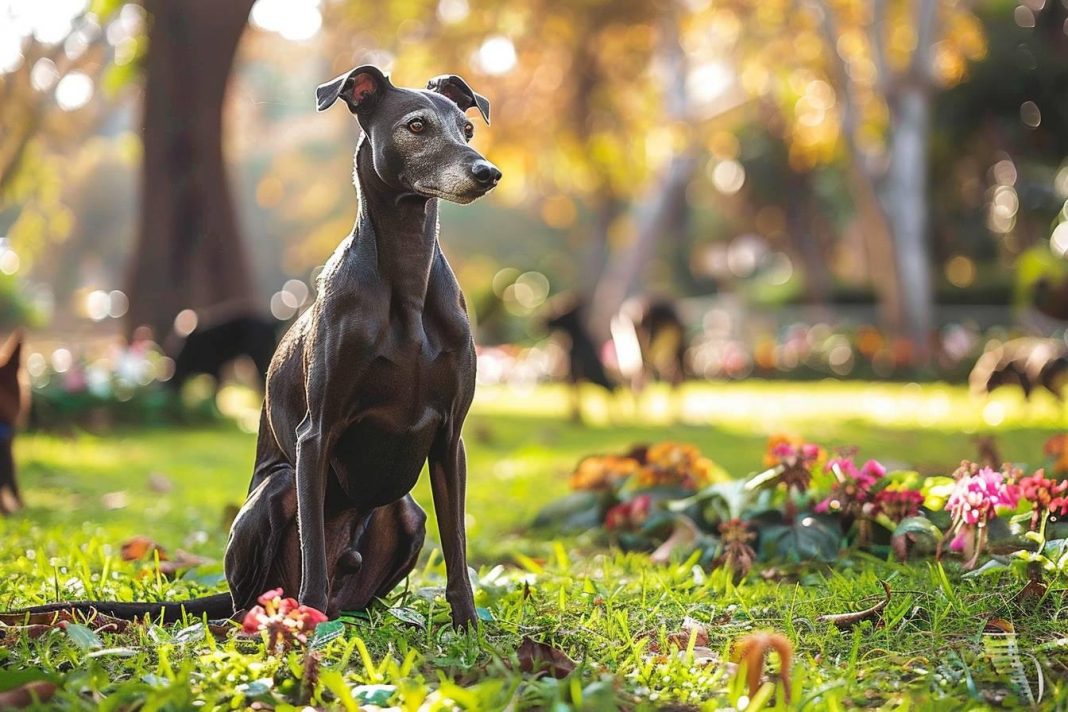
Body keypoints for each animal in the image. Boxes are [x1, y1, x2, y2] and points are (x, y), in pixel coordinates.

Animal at [12, 64, 497, 627]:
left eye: (468, 129)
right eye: (416, 126)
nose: (488, 173)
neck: (406, 275)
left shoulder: (449, 438)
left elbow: (457, 547)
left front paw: (468, 627)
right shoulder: (316, 435)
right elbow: (313, 548)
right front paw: (310, 632)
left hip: (405, 513)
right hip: (275, 493)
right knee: (260, 590)